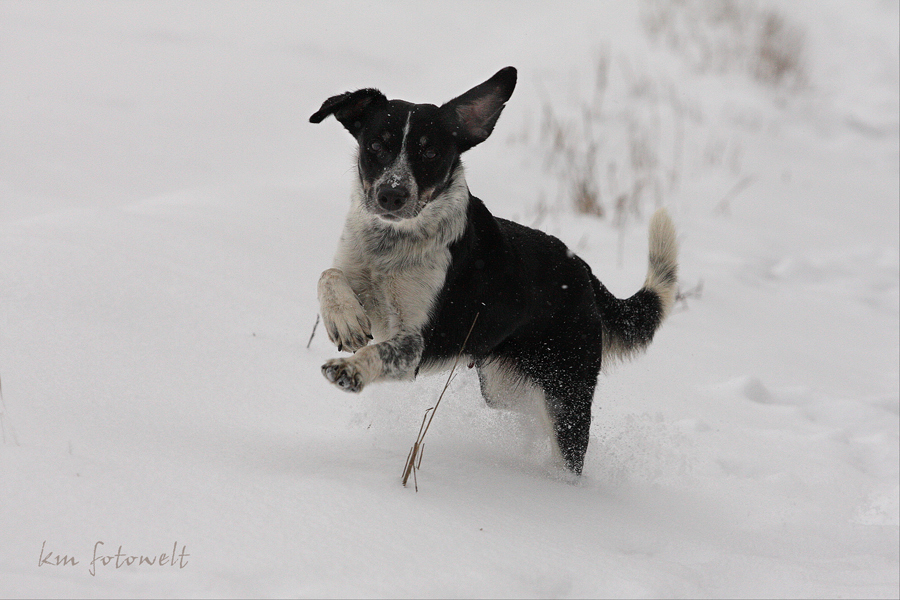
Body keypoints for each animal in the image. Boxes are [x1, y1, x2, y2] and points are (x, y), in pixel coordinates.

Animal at [310, 68, 676, 476]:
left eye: (431, 152)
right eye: (376, 145)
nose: (392, 195)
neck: (393, 242)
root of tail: (583, 271)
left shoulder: (414, 344)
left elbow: (379, 352)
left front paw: (351, 370)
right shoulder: (358, 276)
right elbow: (328, 275)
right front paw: (345, 321)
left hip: (566, 389)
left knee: (566, 446)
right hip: (503, 385)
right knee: (530, 410)